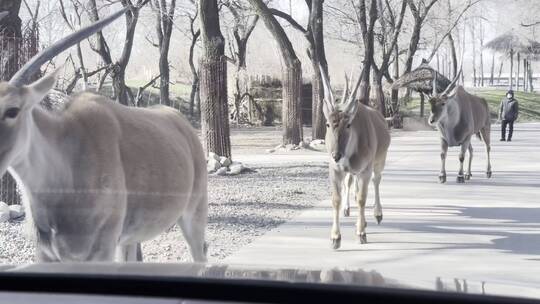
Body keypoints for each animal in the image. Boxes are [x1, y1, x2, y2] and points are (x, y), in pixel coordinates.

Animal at [0, 8, 208, 262]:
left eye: (12, 110)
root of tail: (185, 127)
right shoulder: (48, 255)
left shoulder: (102, 248)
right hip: (130, 239)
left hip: (193, 215)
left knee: (200, 251)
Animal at [318, 67, 390, 249]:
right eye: (328, 124)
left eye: (348, 125)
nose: (336, 155)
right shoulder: (335, 170)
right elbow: (336, 199)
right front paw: (335, 238)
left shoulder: (365, 170)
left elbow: (362, 199)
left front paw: (361, 233)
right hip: (352, 171)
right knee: (351, 184)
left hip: (379, 161)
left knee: (376, 181)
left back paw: (377, 214)